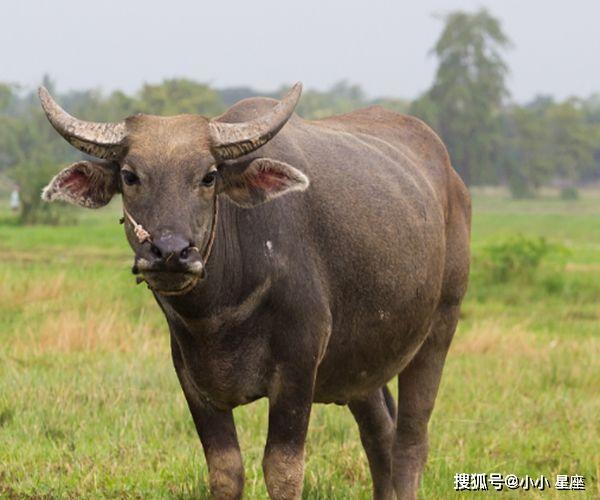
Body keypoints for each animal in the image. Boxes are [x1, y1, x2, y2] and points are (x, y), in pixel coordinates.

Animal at [41, 84, 474, 498]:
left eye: (209, 176)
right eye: (130, 176)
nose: (171, 252)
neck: (218, 315)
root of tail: (454, 182)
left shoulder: (297, 369)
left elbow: (282, 471)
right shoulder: (192, 379)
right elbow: (225, 472)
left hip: (439, 329)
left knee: (410, 442)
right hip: (361, 362)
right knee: (379, 433)